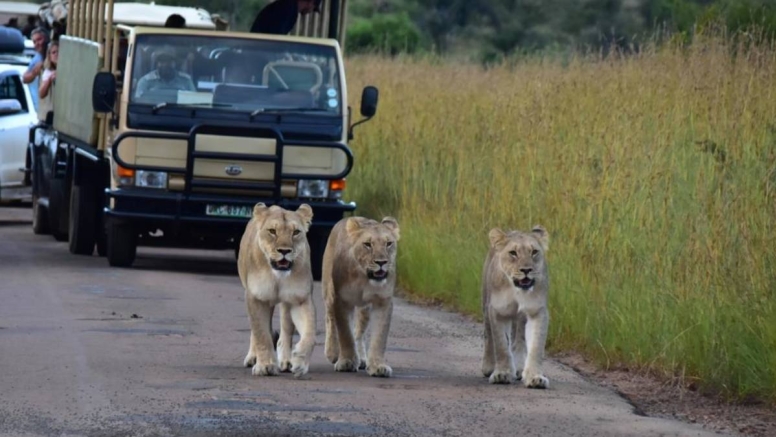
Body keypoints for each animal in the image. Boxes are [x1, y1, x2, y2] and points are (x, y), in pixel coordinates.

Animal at [236, 203, 316, 376]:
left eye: (296, 232)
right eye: (272, 231)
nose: (284, 251)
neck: (277, 276)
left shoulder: (300, 299)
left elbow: (310, 334)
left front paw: (300, 359)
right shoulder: (256, 298)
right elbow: (261, 334)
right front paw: (265, 365)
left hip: (286, 303)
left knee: (285, 332)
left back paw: (286, 361)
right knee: (256, 331)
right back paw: (253, 357)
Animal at [322, 214, 400, 374]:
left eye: (388, 243)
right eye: (367, 244)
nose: (381, 262)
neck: (364, 278)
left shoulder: (383, 301)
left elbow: (379, 336)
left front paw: (377, 366)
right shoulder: (341, 300)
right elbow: (345, 333)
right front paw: (347, 362)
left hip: (364, 309)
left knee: (358, 332)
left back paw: (362, 359)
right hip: (329, 292)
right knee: (330, 319)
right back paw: (332, 353)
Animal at [478, 225, 552, 388]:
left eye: (534, 252)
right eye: (513, 253)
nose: (526, 270)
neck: (518, 292)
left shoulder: (537, 311)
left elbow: (536, 346)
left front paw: (535, 377)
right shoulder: (497, 311)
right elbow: (501, 345)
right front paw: (502, 374)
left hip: (520, 317)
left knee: (519, 339)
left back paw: (519, 368)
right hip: (486, 304)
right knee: (488, 335)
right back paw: (488, 367)